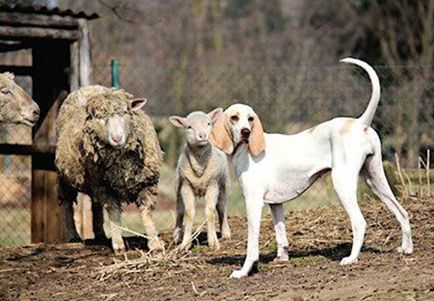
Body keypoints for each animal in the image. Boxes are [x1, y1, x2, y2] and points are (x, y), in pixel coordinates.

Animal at [54, 85, 163, 252]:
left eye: (125, 112)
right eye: (99, 117)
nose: (117, 138)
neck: (123, 166)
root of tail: (86, 87)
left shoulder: (147, 183)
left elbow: (147, 213)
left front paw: (155, 244)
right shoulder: (105, 188)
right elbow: (113, 212)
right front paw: (118, 245)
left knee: (96, 205)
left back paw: (100, 234)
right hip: (68, 177)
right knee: (67, 202)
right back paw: (73, 236)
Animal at [169, 108, 231, 248]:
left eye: (208, 123)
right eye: (189, 127)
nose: (202, 136)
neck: (199, 168)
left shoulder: (213, 184)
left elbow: (210, 212)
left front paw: (213, 241)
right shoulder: (186, 185)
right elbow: (188, 213)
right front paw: (185, 243)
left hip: (223, 185)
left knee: (222, 208)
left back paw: (225, 233)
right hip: (178, 187)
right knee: (179, 211)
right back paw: (177, 236)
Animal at [210, 56, 414, 276]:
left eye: (250, 119)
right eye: (234, 118)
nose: (246, 132)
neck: (247, 150)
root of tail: (360, 123)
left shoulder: (253, 202)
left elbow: (252, 245)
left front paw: (244, 271)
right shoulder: (275, 204)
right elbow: (281, 235)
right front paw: (281, 259)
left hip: (342, 184)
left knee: (359, 222)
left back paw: (351, 259)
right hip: (375, 180)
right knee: (402, 213)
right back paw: (406, 249)